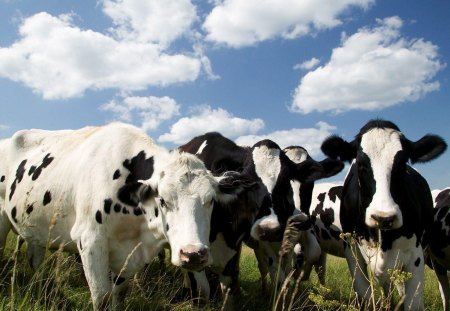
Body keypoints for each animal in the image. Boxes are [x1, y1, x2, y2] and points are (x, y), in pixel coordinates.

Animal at [0, 123, 250, 310]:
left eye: (211, 200)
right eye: (163, 200)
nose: (193, 254)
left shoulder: (129, 255)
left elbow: (119, 294)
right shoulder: (90, 241)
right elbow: (102, 298)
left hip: (35, 227)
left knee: (34, 258)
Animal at [320, 120, 446, 311]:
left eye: (402, 163)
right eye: (360, 164)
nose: (383, 218)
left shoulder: (415, 256)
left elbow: (413, 303)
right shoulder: (352, 251)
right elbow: (364, 295)